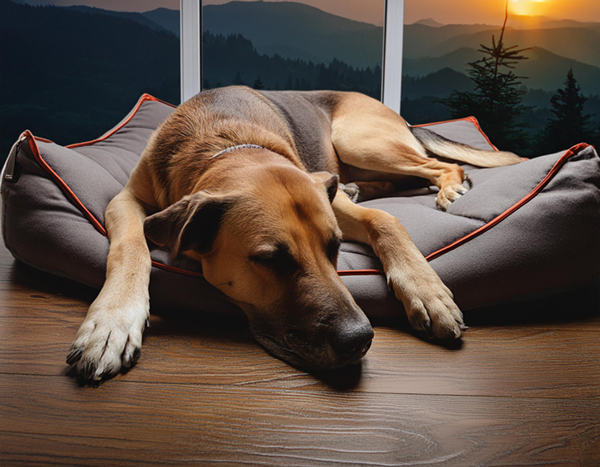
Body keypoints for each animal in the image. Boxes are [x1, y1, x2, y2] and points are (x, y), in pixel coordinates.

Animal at [65, 87, 524, 380]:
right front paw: (114, 321)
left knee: (440, 167)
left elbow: (385, 220)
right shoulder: (124, 201)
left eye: (335, 247)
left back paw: (448, 188)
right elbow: (131, 246)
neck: (228, 144)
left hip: (357, 138)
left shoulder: (332, 202)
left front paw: (428, 292)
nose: (360, 340)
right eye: (270, 260)